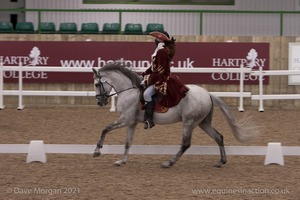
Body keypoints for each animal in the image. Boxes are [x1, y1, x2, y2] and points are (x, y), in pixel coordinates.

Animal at [92, 62, 258, 167]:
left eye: (96, 84)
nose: (99, 101)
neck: (129, 91)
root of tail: (208, 94)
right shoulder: (131, 123)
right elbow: (128, 142)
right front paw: (122, 161)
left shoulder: (125, 120)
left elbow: (105, 129)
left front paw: (97, 151)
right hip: (203, 123)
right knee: (219, 137)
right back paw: (221, 161)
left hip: (189, 122)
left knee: (185, 144)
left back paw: (169, 162)